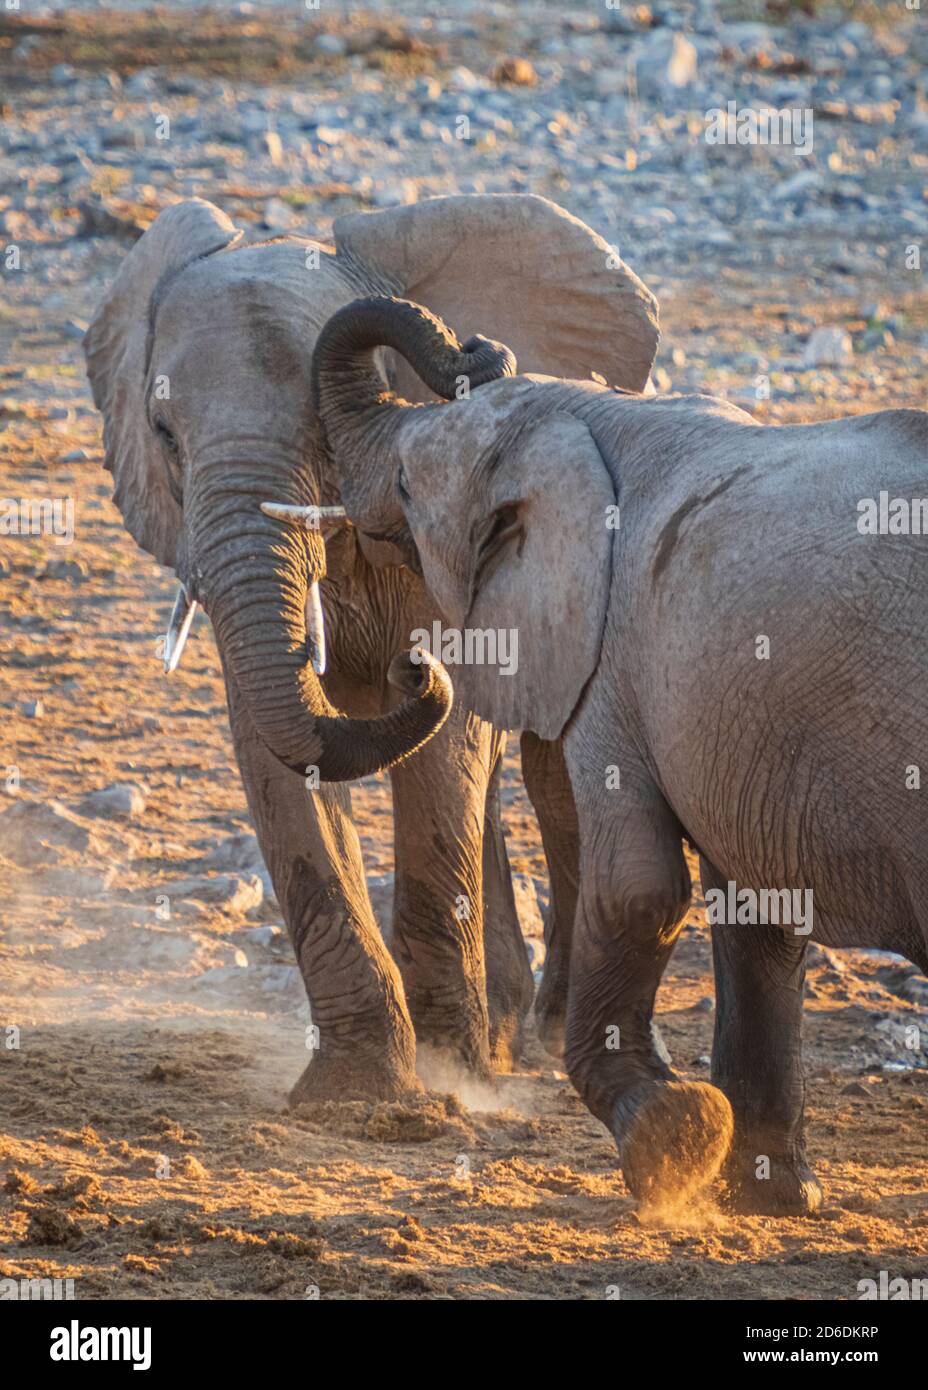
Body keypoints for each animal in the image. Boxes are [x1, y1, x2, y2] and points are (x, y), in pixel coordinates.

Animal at [81, 193, 658, 1106]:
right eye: (165, 433)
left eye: (326, 430)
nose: (480, 352)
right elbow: (276, 748)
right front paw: (359, 1093)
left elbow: (445, 749)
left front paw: (451, 1073)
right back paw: (503, 1030)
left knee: (551, 773)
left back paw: (538, 1034)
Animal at [305, 293, 928, 1217]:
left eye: (410, 486)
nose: (477, 345)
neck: (588, 412)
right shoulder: (726, 720)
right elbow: (757, 910)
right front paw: (772, 1198)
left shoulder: (618, 665)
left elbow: (641, 887)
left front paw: (673, 1143)